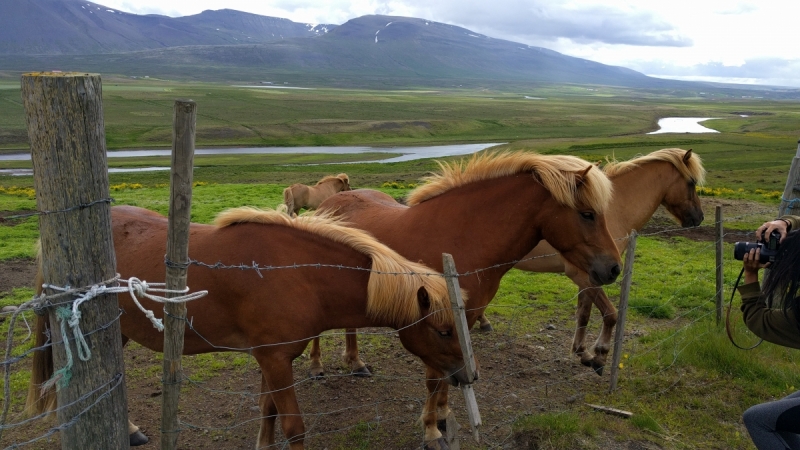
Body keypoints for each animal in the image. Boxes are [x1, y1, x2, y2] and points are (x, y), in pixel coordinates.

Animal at [28, 206, 472, 448]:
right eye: (443, 330)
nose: (469, 375)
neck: (297, 274)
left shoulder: (270, 359)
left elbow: (266, 412)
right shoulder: (275, 360)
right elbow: (293, 426)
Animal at [310, 149, 620, 444]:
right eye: (587, 214)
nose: (614, 268)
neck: (463, 238)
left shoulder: (462, 320)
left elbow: (450, 374)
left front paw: (444, 415)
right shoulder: (431, 322)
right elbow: (434, 378)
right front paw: (431, 430)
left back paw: (356, 363)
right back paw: (316, 366)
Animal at [500, 147, 708, 372]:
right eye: (691, 182)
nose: (699, 217)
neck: (614, 209)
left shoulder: (591, 275)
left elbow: (584, 313)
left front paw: (582, 352)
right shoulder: (585, 275)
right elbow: (610, 314)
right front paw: (599, 354)